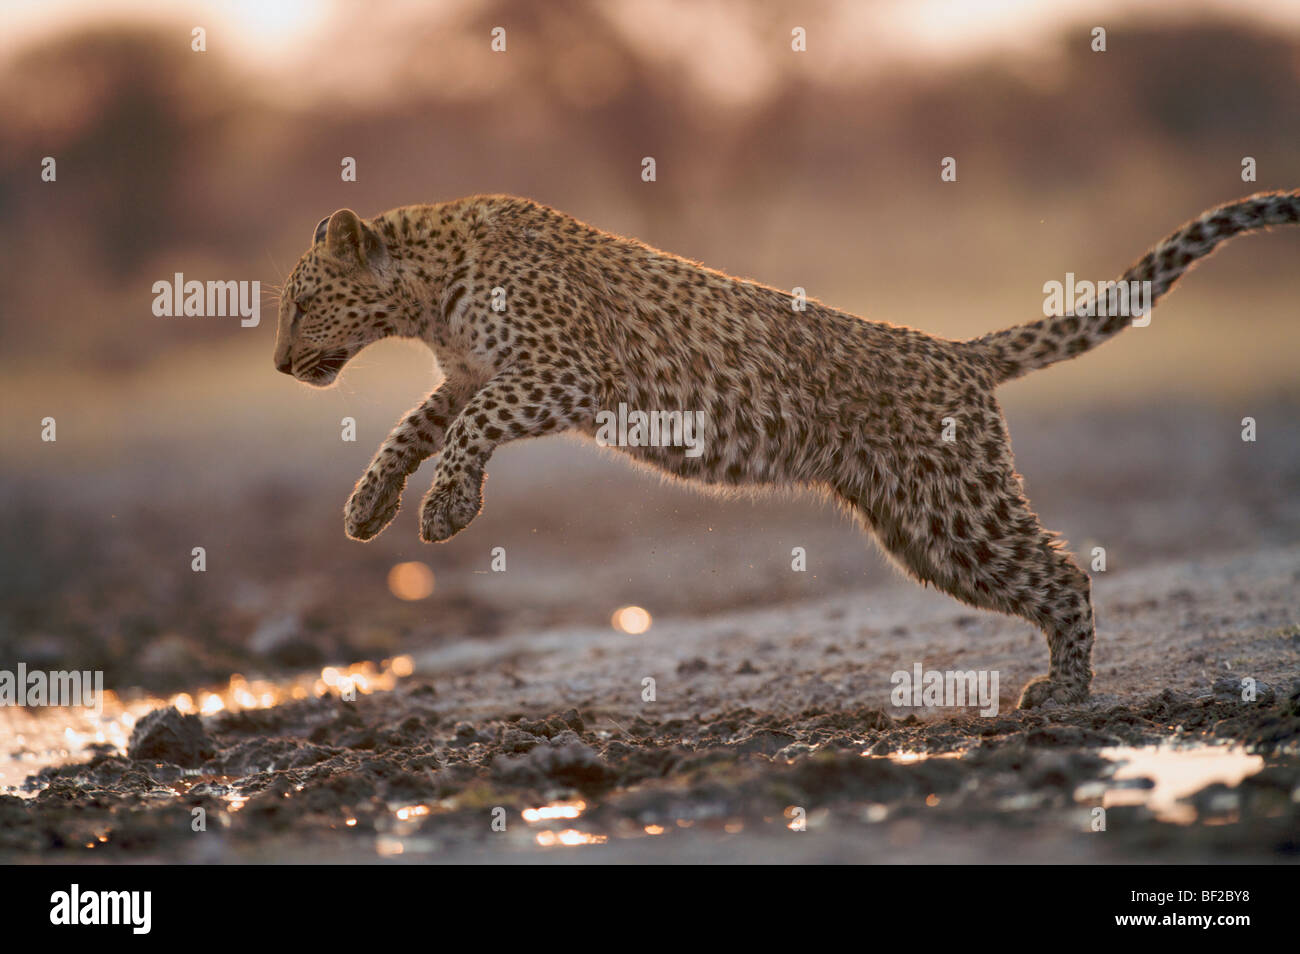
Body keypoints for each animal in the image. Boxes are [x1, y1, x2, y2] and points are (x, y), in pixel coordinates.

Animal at [273, 190, 1299, 708]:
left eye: (299, 301)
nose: (279, 364)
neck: (426, 291)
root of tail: (960, 351)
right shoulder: (467, 372)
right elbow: (417, 424)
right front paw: (368, 505)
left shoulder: (564, 373)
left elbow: (472, 427)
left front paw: (447, 509)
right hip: (920, 527)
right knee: (1040, 574)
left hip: (958, 505)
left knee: (1065, 572)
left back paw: (1070, 693)